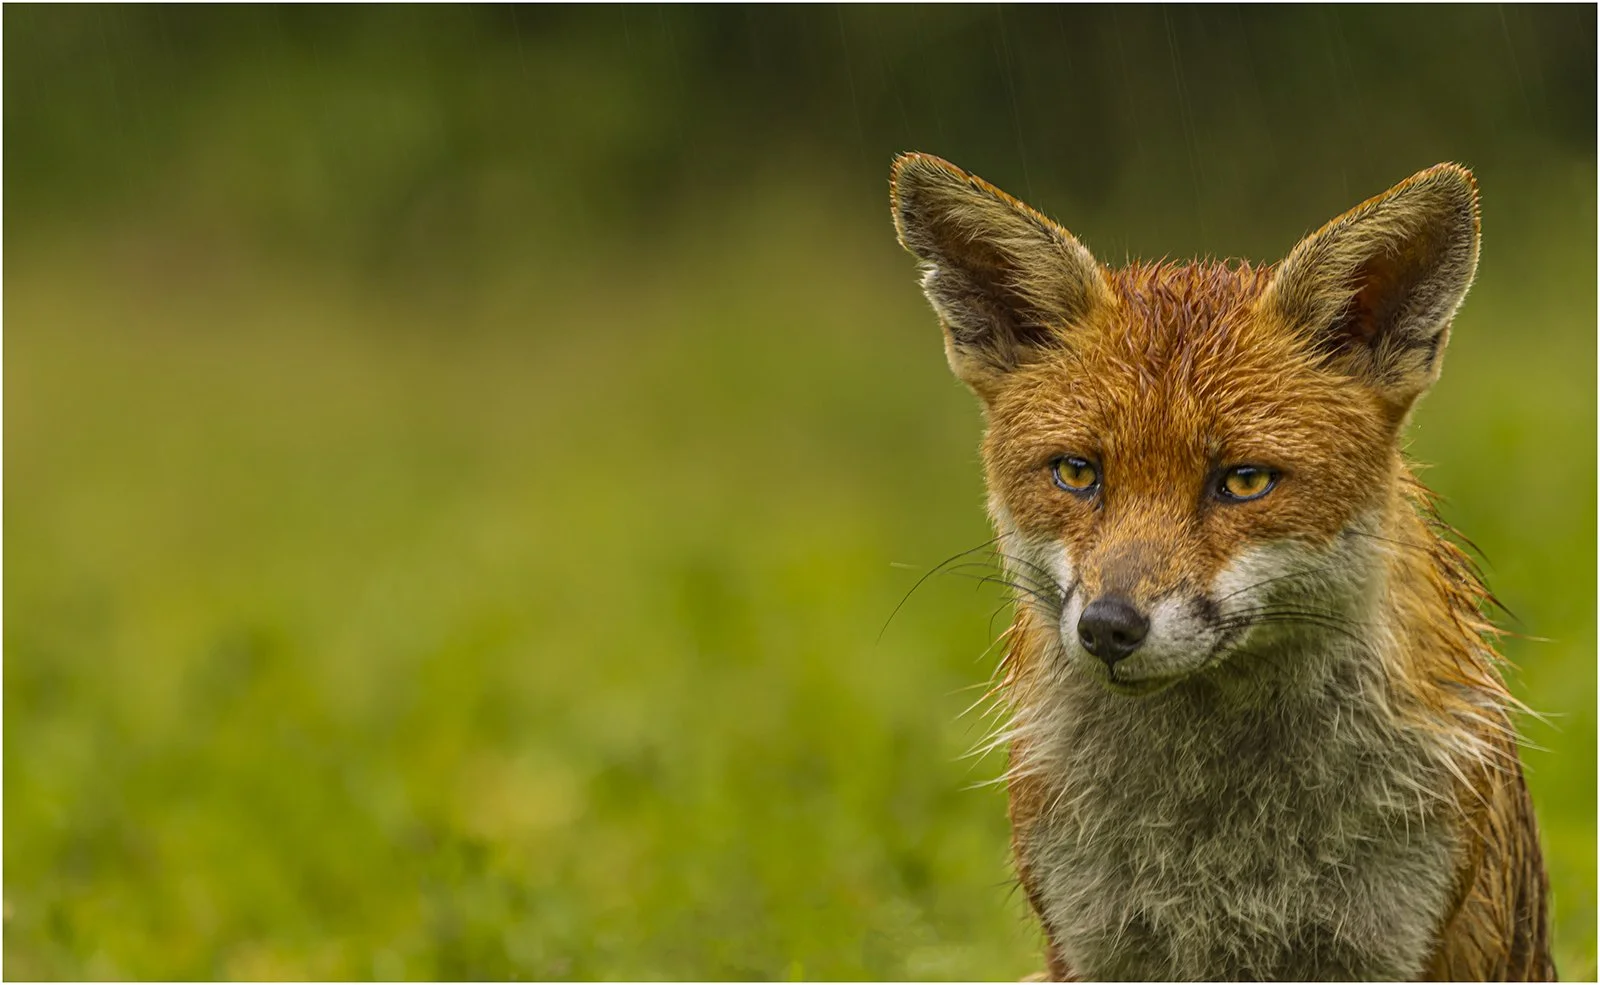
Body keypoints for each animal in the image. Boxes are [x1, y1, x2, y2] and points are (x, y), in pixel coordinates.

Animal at [888, 154, 1554, 981]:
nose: (1109, 626)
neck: (1226, 856)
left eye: (1243, 481)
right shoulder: (1096, 938)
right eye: (1077, 472)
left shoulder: (1394, 939)